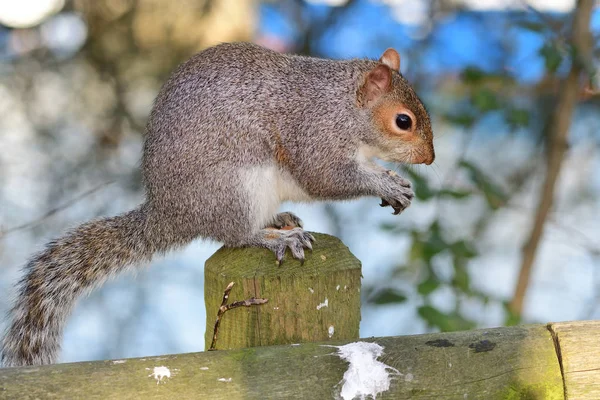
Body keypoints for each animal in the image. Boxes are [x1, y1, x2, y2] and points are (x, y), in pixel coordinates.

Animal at [0, 43, 432, 366]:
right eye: (403, 121)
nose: (429, 159)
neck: (343, 106)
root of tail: (170, 215)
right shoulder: (315, 136)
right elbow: (326, 177)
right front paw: (385, 183)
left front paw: (394, 181)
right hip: (235, 189)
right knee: (236, 234)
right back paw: (274, 237)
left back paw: (282, 219)